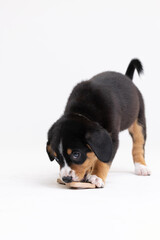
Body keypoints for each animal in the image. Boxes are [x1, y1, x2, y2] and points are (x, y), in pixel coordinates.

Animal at [46, 58, 150, 188]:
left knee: (138, 144)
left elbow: (102, 161)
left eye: (76, 154)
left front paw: (96, 176)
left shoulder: (111, 139)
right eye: (56, 158)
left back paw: (141, 167)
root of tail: (127, 78)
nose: (66, 179)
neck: (83, 112)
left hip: (139, 120)